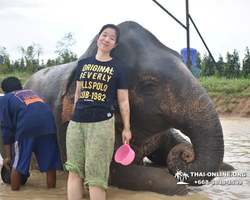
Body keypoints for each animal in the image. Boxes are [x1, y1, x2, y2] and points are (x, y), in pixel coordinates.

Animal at [0, 21, 234, 195]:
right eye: (150, 86)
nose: (188, 154)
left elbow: (171, 144)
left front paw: (228, 167)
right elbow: (119, 172)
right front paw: (177, 184)